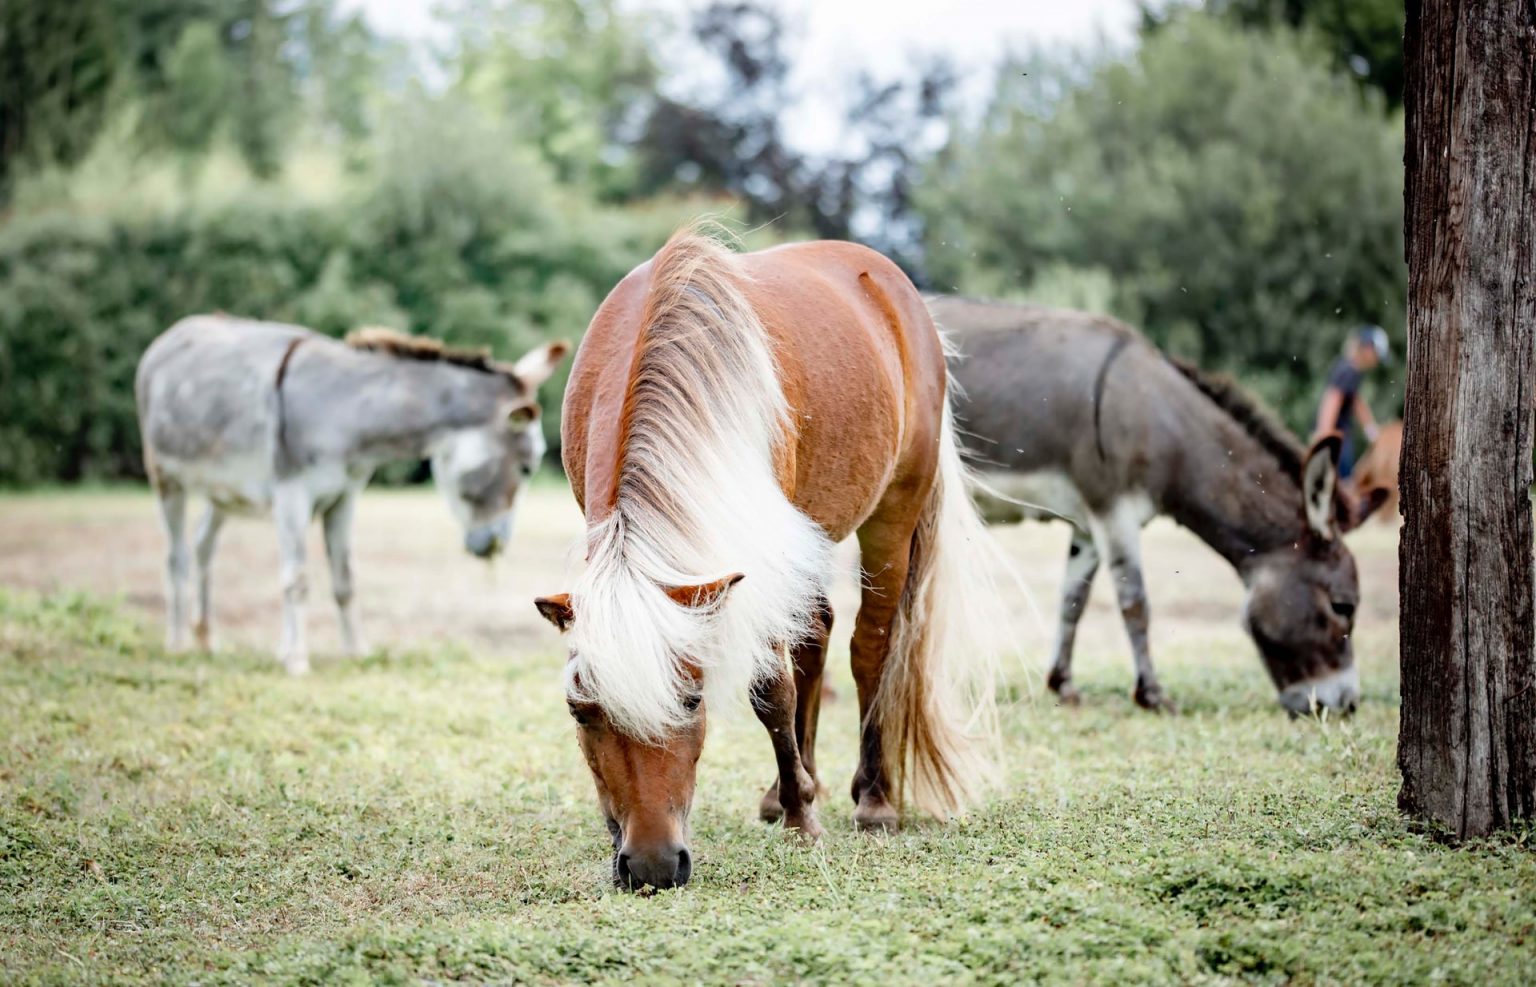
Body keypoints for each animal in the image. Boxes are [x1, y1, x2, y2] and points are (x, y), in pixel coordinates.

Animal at [136, 315, 568, 674]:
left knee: (203, 547)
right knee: (177, 556)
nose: (495, 545)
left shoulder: (344, 497)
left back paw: (206, 639)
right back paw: (177, 643)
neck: (345, 413)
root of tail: (169, 336)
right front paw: (295, 659)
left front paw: (356, 652)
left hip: (222, 492)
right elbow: (296, 578)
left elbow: (346, 580)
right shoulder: (291, 495)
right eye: (527, 466)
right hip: (166, 477)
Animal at [534, 227, 1005, 891]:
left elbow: (769, 689)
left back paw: (873, 799)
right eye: (581, 712)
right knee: (816, 636)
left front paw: (803, 820)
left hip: (892, 512)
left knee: (872, 647)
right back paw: (790, 787)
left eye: (692, 701)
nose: (652, 866)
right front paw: (795, 797)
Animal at [928, 296, 1387, 716]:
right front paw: (1151, 694)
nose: (1346, 705)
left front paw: (1063, 684)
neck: (1161, 424)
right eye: (1343, 606)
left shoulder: (1086, 524)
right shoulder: (1113, 510)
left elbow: (1073, 600)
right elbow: (1136, 604)